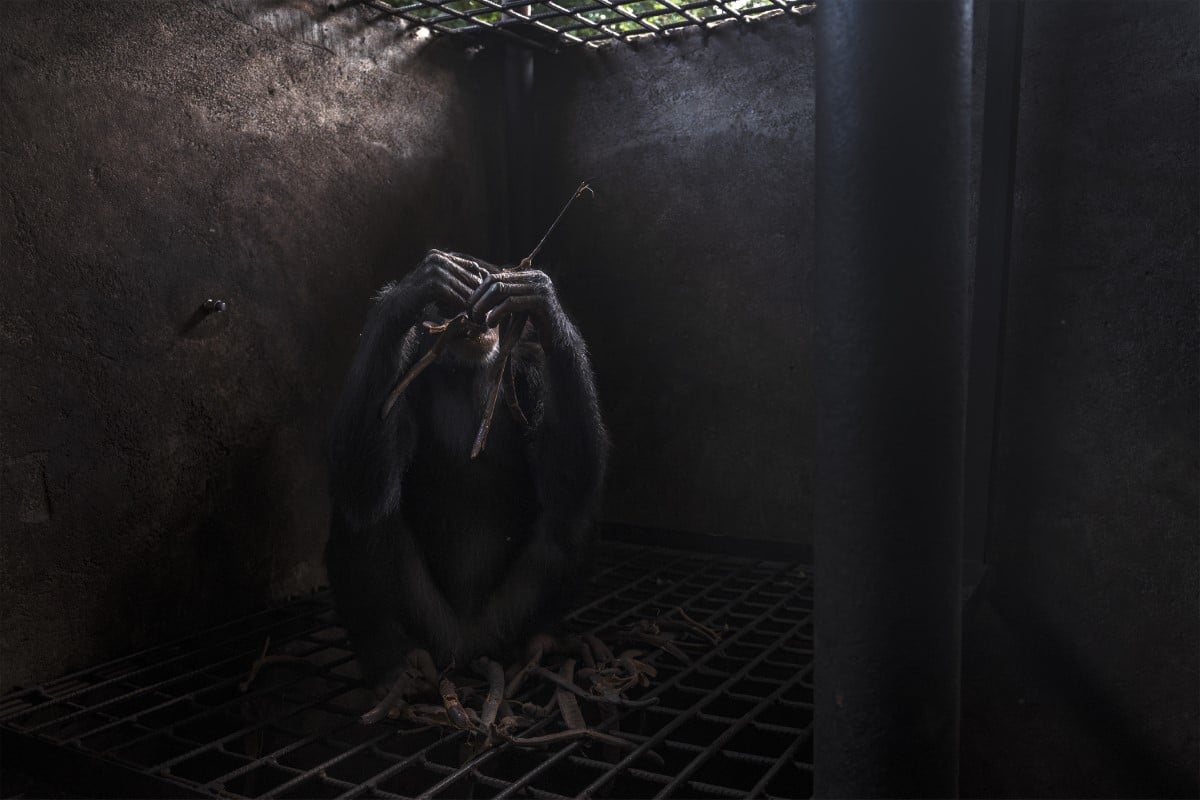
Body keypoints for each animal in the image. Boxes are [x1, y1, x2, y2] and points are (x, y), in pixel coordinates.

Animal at [326, 247, 609, 695]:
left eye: (487, 288)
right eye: (452, 303)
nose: (476, 316)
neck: (465, 371)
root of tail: (468, 646)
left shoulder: (528, 368)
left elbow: (568, 479)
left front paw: (536, 297)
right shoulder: (403, 373)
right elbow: (362, 483)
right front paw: (415, 290)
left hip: (509, 613)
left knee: (571, 512)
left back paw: (543, 637)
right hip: (429, 622)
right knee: (365, 511)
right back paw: (390, 655)